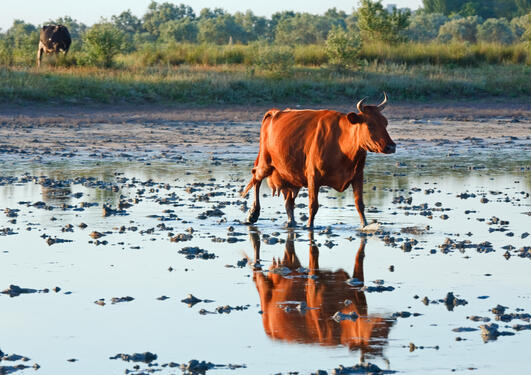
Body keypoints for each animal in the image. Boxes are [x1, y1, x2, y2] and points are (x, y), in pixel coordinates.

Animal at [241, 94, 394, 229]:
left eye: (385, 122)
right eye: (370, 125)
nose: (391, 146)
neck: (342, 144)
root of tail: (274, 112)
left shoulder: (357, 175)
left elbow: (359, 204)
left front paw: (364, 225)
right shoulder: (313, 176)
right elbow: (313, 205)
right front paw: (310, 226)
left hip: (288, 172)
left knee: (288, 199)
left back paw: (291, 221)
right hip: (265, 162)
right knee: (256, 178)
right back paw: (252, 214)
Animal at [249, 229, 394, 364]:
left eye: (386, 338)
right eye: (373, 333)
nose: (390, 322)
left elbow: (359, 257)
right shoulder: (314, 289)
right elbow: (314, 252)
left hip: (292, 263)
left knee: (289, 251)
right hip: (263, 286)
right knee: (257, 268)